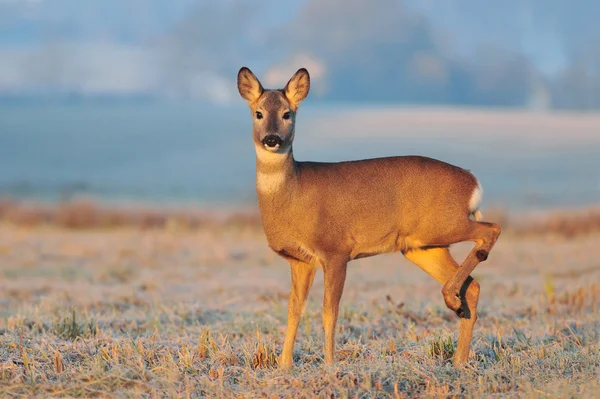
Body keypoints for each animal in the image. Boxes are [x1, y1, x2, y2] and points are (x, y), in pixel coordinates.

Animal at [237, 65, 500, 368]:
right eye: (258, 113)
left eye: (287, 113)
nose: (272, 139)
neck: (293, 193)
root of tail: (473, 182)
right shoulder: (300, 260)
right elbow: (294, 311)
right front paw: (284, 366)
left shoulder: (335, 250)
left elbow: (329, 311)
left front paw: (330, 365)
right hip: (423, 246)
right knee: (474, 286)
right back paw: (458, 356)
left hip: (444, 224)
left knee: (491, 229)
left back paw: (453, 305)